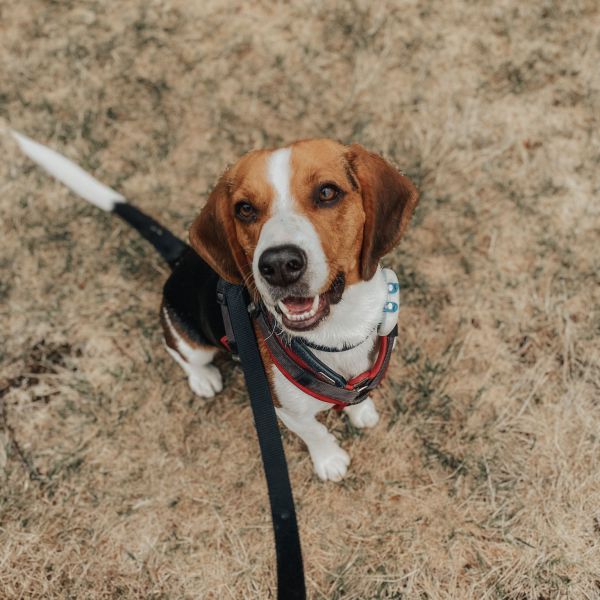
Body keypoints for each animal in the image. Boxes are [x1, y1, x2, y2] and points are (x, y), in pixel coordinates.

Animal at [11, 132, 420, 482]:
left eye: (327, 192)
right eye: (245, 209)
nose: (278, 265)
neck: (337, 335)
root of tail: (183, 257)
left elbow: (356, 397)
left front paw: (360, 411)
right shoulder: (285, 411)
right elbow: (315, 431)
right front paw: (329, 460)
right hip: (190, 340)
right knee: (177, 350)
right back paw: (202, 377)